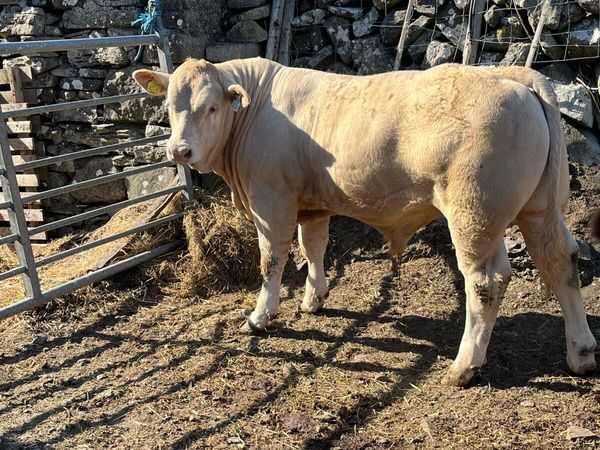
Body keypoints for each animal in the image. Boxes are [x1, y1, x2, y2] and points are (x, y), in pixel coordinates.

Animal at [133, 58, 597, 386]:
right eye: (170, 106)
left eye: (211, 107)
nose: (179, 151)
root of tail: (510, 74)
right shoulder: (313, 204)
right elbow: (313, 247)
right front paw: (313, 299)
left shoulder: (270, 199)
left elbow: (272, 259)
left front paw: (261, 316)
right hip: (538, 208)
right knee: (561, 261)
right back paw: (581, 353)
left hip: (473, 213)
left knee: (486, 282)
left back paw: (463, 367)